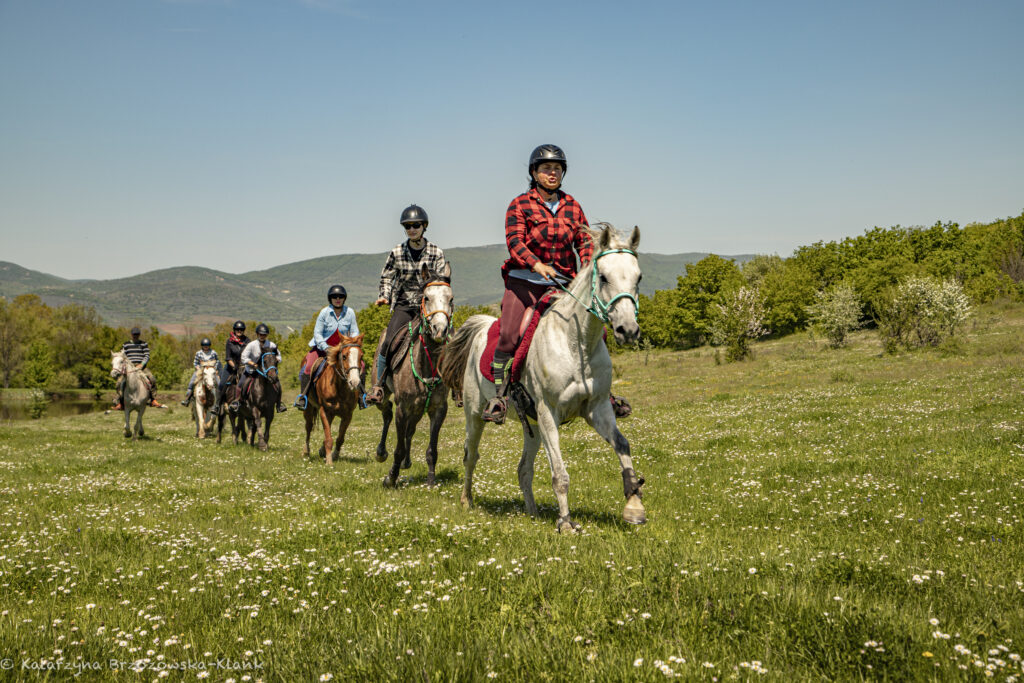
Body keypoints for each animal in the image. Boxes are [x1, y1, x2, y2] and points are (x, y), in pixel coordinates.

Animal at [302, 334, 364, 464]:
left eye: (361, 356)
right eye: (344, 356)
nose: (355, 382)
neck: (339, 387)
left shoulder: (347, 415)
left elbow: (340, 438)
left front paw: (334, 455)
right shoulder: (324, 411)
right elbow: (328, 438)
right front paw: (329, 462)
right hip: (309, 408)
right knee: (308, 427)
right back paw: (306, 451)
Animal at [374, 261, 453, 488]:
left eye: (450, 299)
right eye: (426, 297)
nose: (439, 330)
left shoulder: (438, 409)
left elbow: (432, 450)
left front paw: (431, 481)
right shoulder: (403, 408)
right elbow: (398, 447)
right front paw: (391, 478)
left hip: (418, 409)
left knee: (410, 430)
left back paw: (407, 462)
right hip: (384, 394)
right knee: (387, 413)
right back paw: (381, 453)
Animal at [439, 224, 644, 533]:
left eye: (638, 277)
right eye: (604, 277)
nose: (628, 329)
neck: (577, 343)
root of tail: (482, 327)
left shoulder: (597, 409)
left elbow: (622, 446)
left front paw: (634, 506)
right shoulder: (549, 412)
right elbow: (560, 474)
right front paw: (566, 524)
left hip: (531, 426)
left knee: (523, 469)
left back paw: (532, 512)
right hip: (475, 415)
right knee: (470, 456)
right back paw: (467, 501)